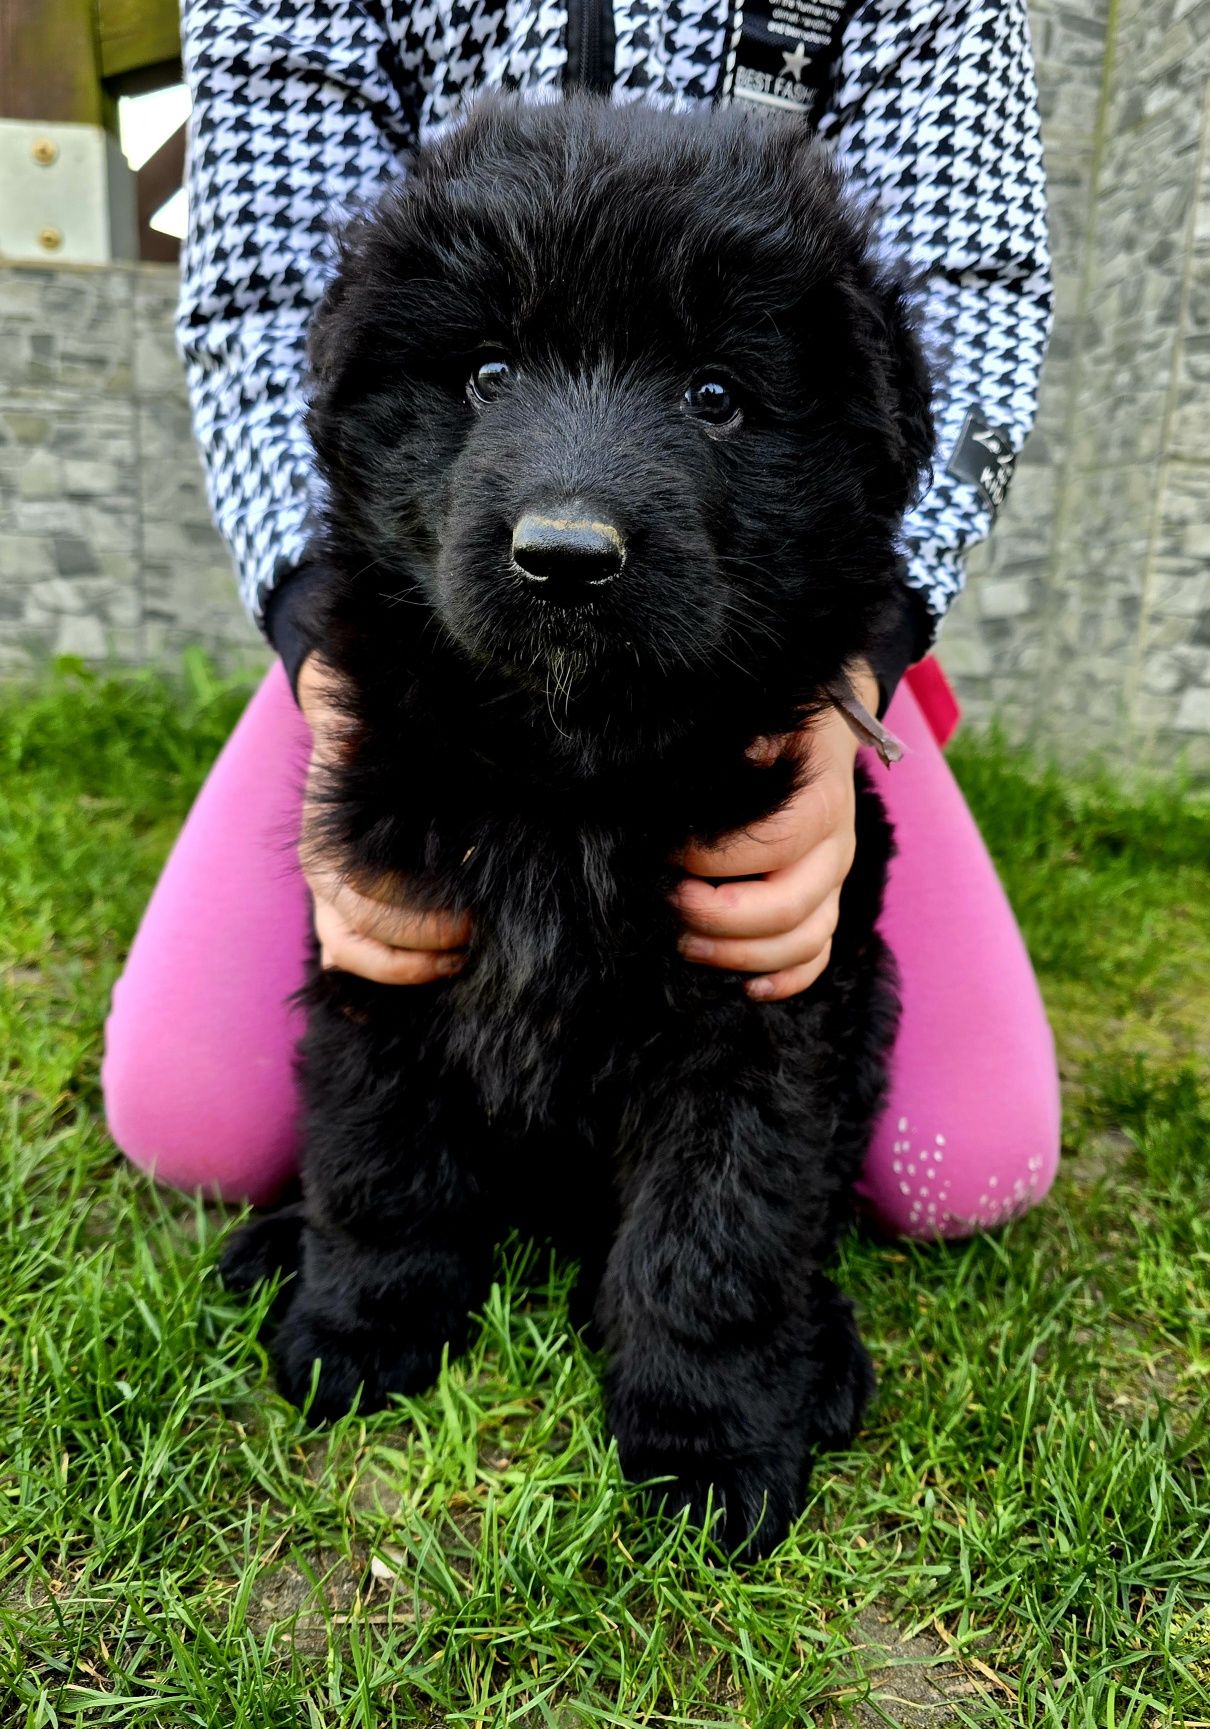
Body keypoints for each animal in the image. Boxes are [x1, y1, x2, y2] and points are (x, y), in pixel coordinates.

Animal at [222, 94, 933, 1563]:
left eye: (714, 396)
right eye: (487, 374)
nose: (562, 557)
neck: (568, 769)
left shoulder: (757, 997)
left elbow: (718, 1234)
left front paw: (707, 1444)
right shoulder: (386, 939)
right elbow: (377, 1153)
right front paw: (360, 1326)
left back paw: (822, 1354)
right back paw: (278, 1245)